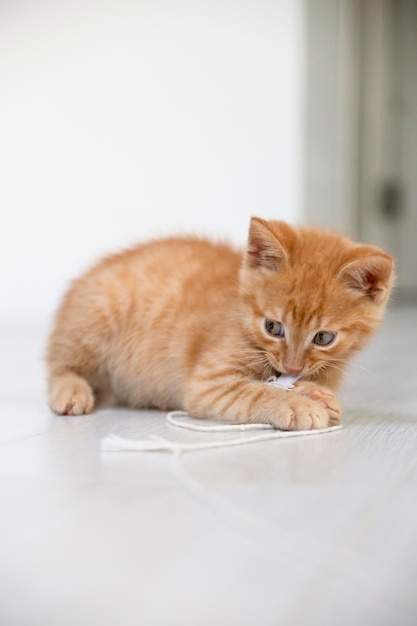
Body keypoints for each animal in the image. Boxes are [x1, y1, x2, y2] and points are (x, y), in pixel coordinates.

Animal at [46, 218, 394, 428]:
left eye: (323, 338)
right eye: (273, 328)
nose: (292, 367)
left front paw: (321, 397)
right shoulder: (208, 384)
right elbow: (256, 392)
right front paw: (297, 404)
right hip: (96, 319)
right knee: (60, 364)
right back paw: (71, 391)